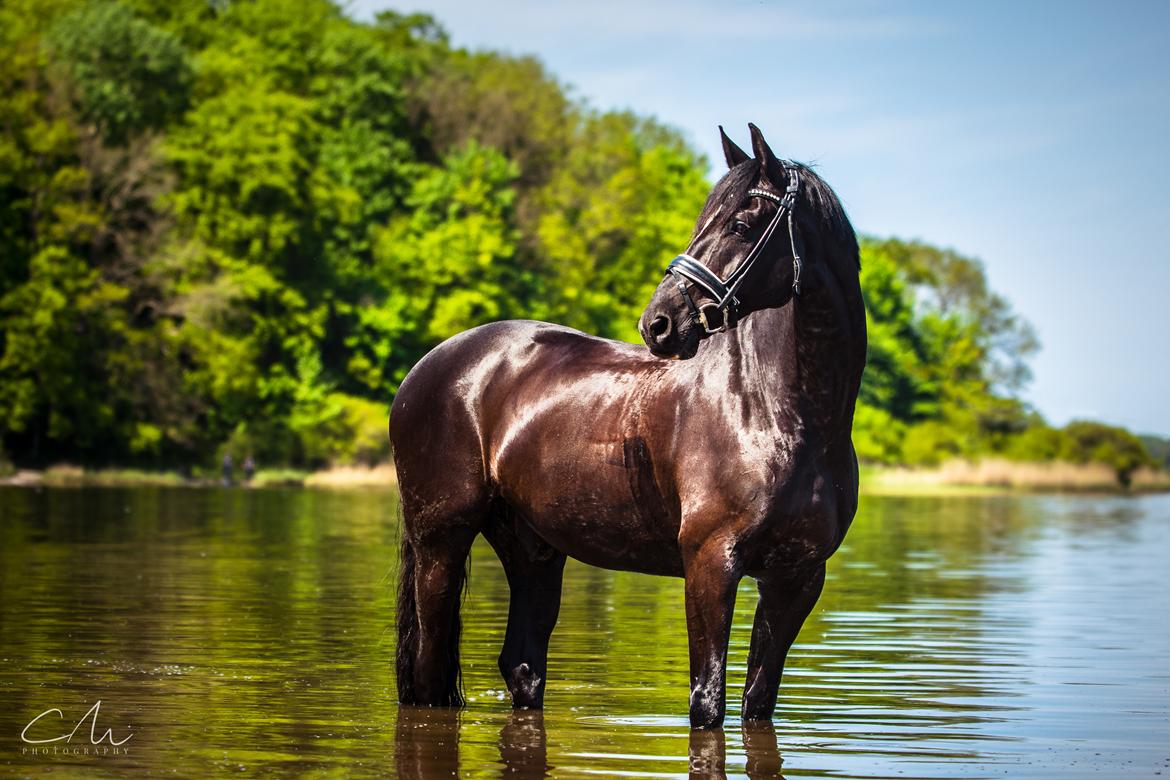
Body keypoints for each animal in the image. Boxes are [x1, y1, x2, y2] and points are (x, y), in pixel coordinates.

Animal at [388, 125, 865, 729]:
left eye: (740, 224)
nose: (657, 323)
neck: (779, 414)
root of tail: (428, 366)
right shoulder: (711, 564)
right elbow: (706, 702)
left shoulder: (796, 578)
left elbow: (756, 702)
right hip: (440, 541)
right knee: (429, 673)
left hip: (532, 549)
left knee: (521, 665)